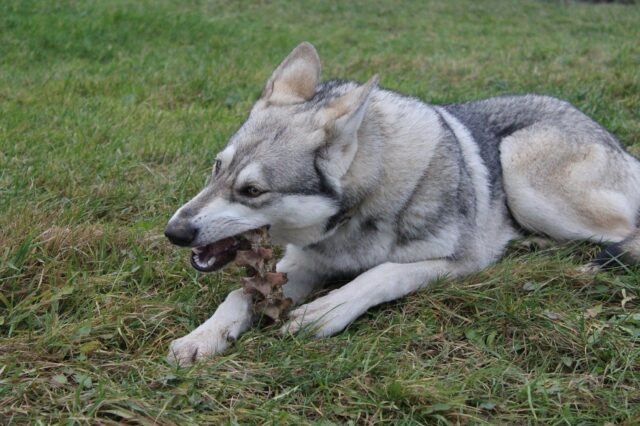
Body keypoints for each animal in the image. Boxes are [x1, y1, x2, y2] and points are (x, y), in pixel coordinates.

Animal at [164, 41, 640, 366]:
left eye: (252, 191)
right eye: (217, 168)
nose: (174, 232)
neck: (356, 219)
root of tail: (614, 141)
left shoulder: (462, 262)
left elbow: (382, 272)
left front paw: (325, 311)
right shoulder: (303, 264)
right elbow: (239, 295)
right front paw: (203, 337)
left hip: (522, 171)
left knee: (624, 232)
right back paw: (533, 244)